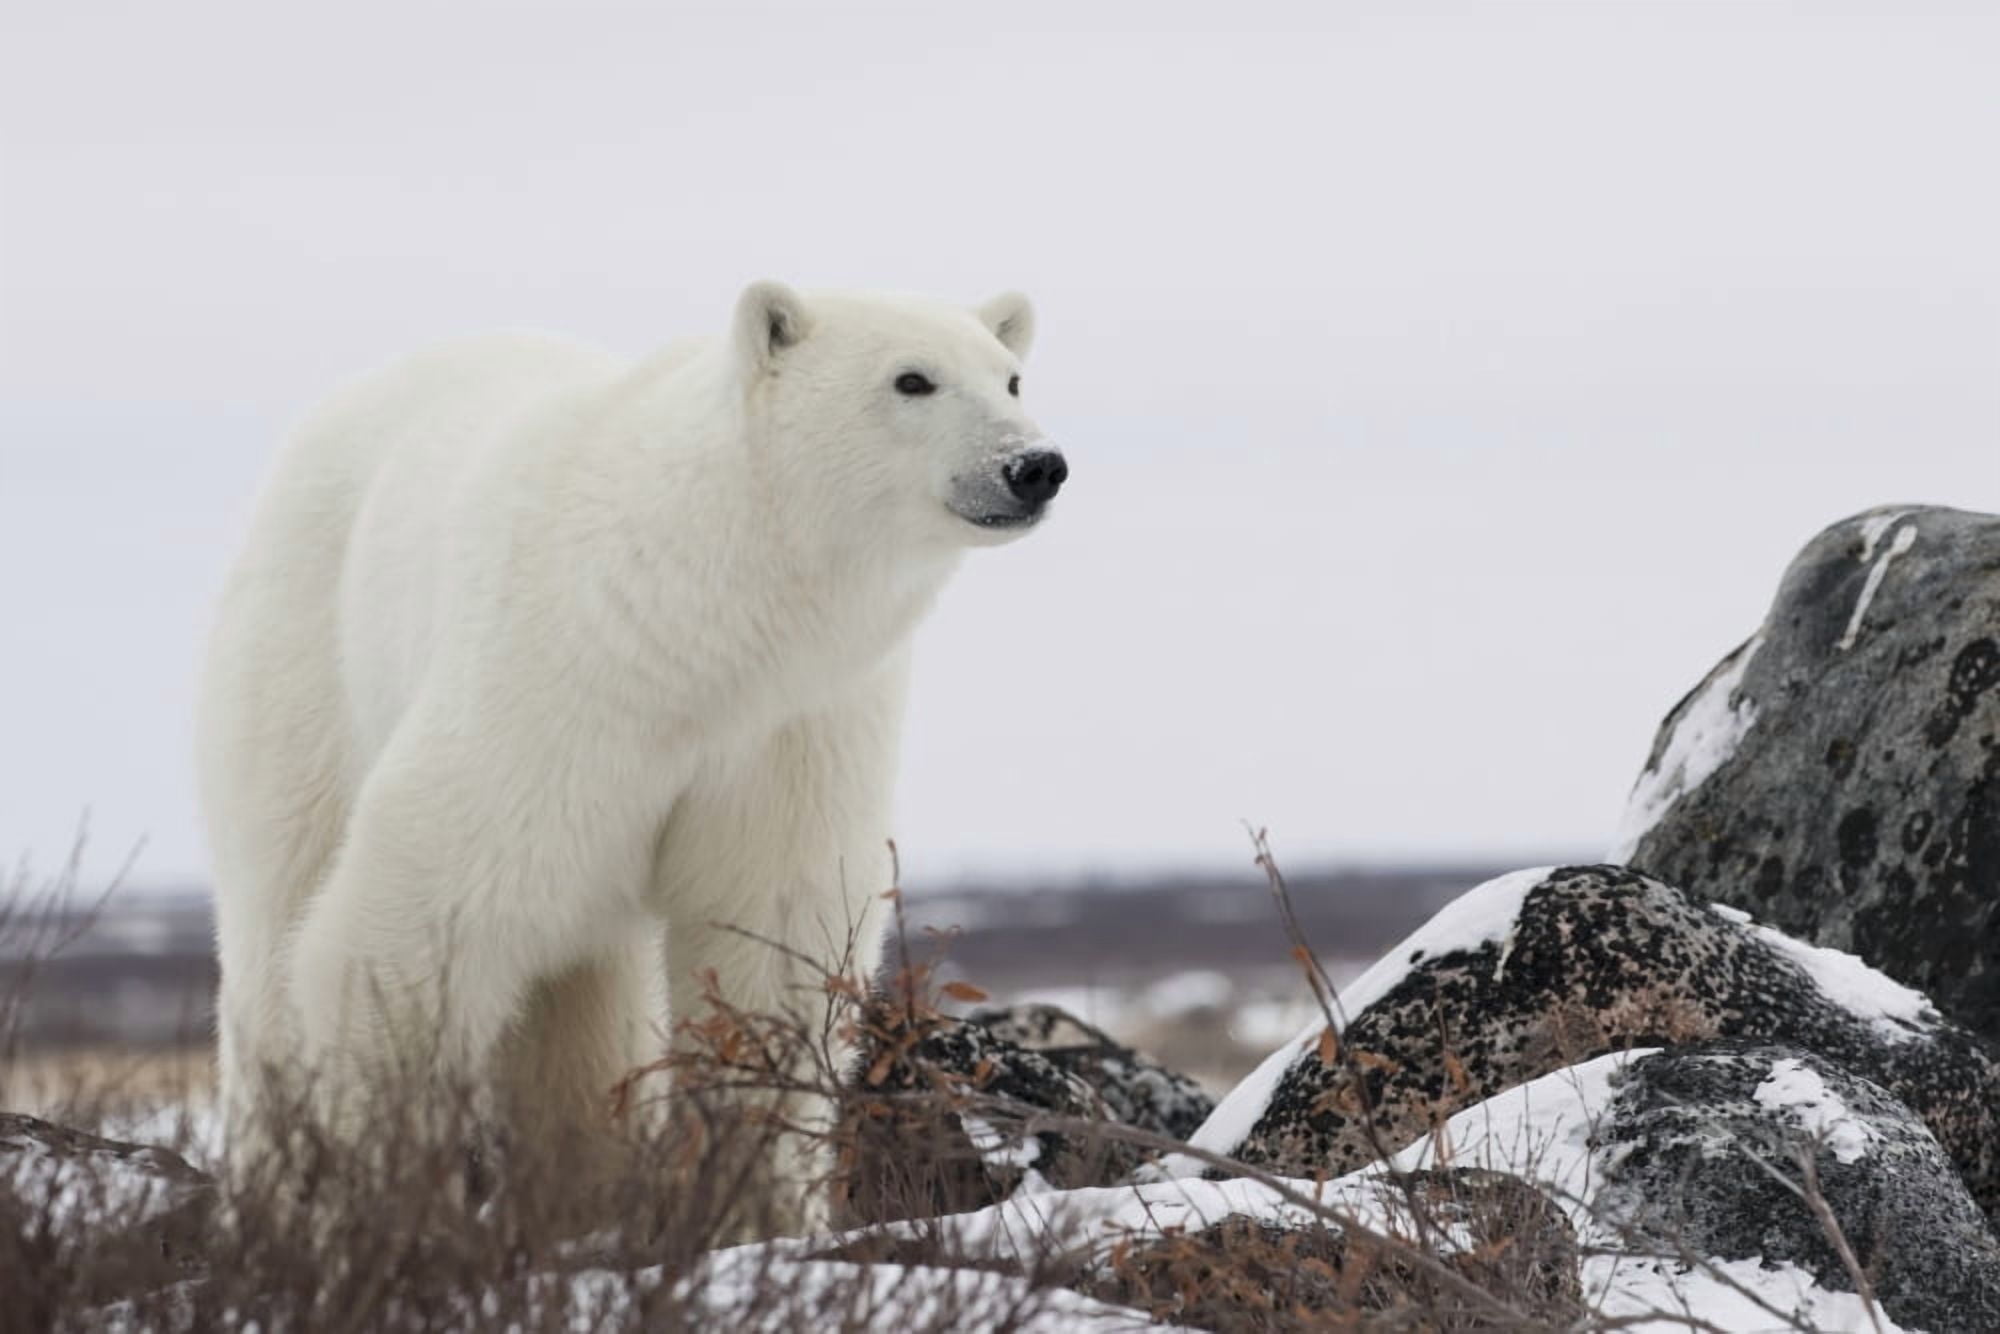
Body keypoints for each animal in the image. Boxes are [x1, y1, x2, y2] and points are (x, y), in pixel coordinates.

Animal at [194, 282, 1063, 1228]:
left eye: (1012, 377)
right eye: (912, 379)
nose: (1035, 466)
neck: (705, 618)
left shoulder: (795, 722)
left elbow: (769, 930)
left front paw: (756, 1213)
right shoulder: (560, 683)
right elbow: (416, 913)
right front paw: (381, 1202)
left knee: (583, 1002)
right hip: (308, 658)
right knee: (281, 902)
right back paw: (271, 1184)